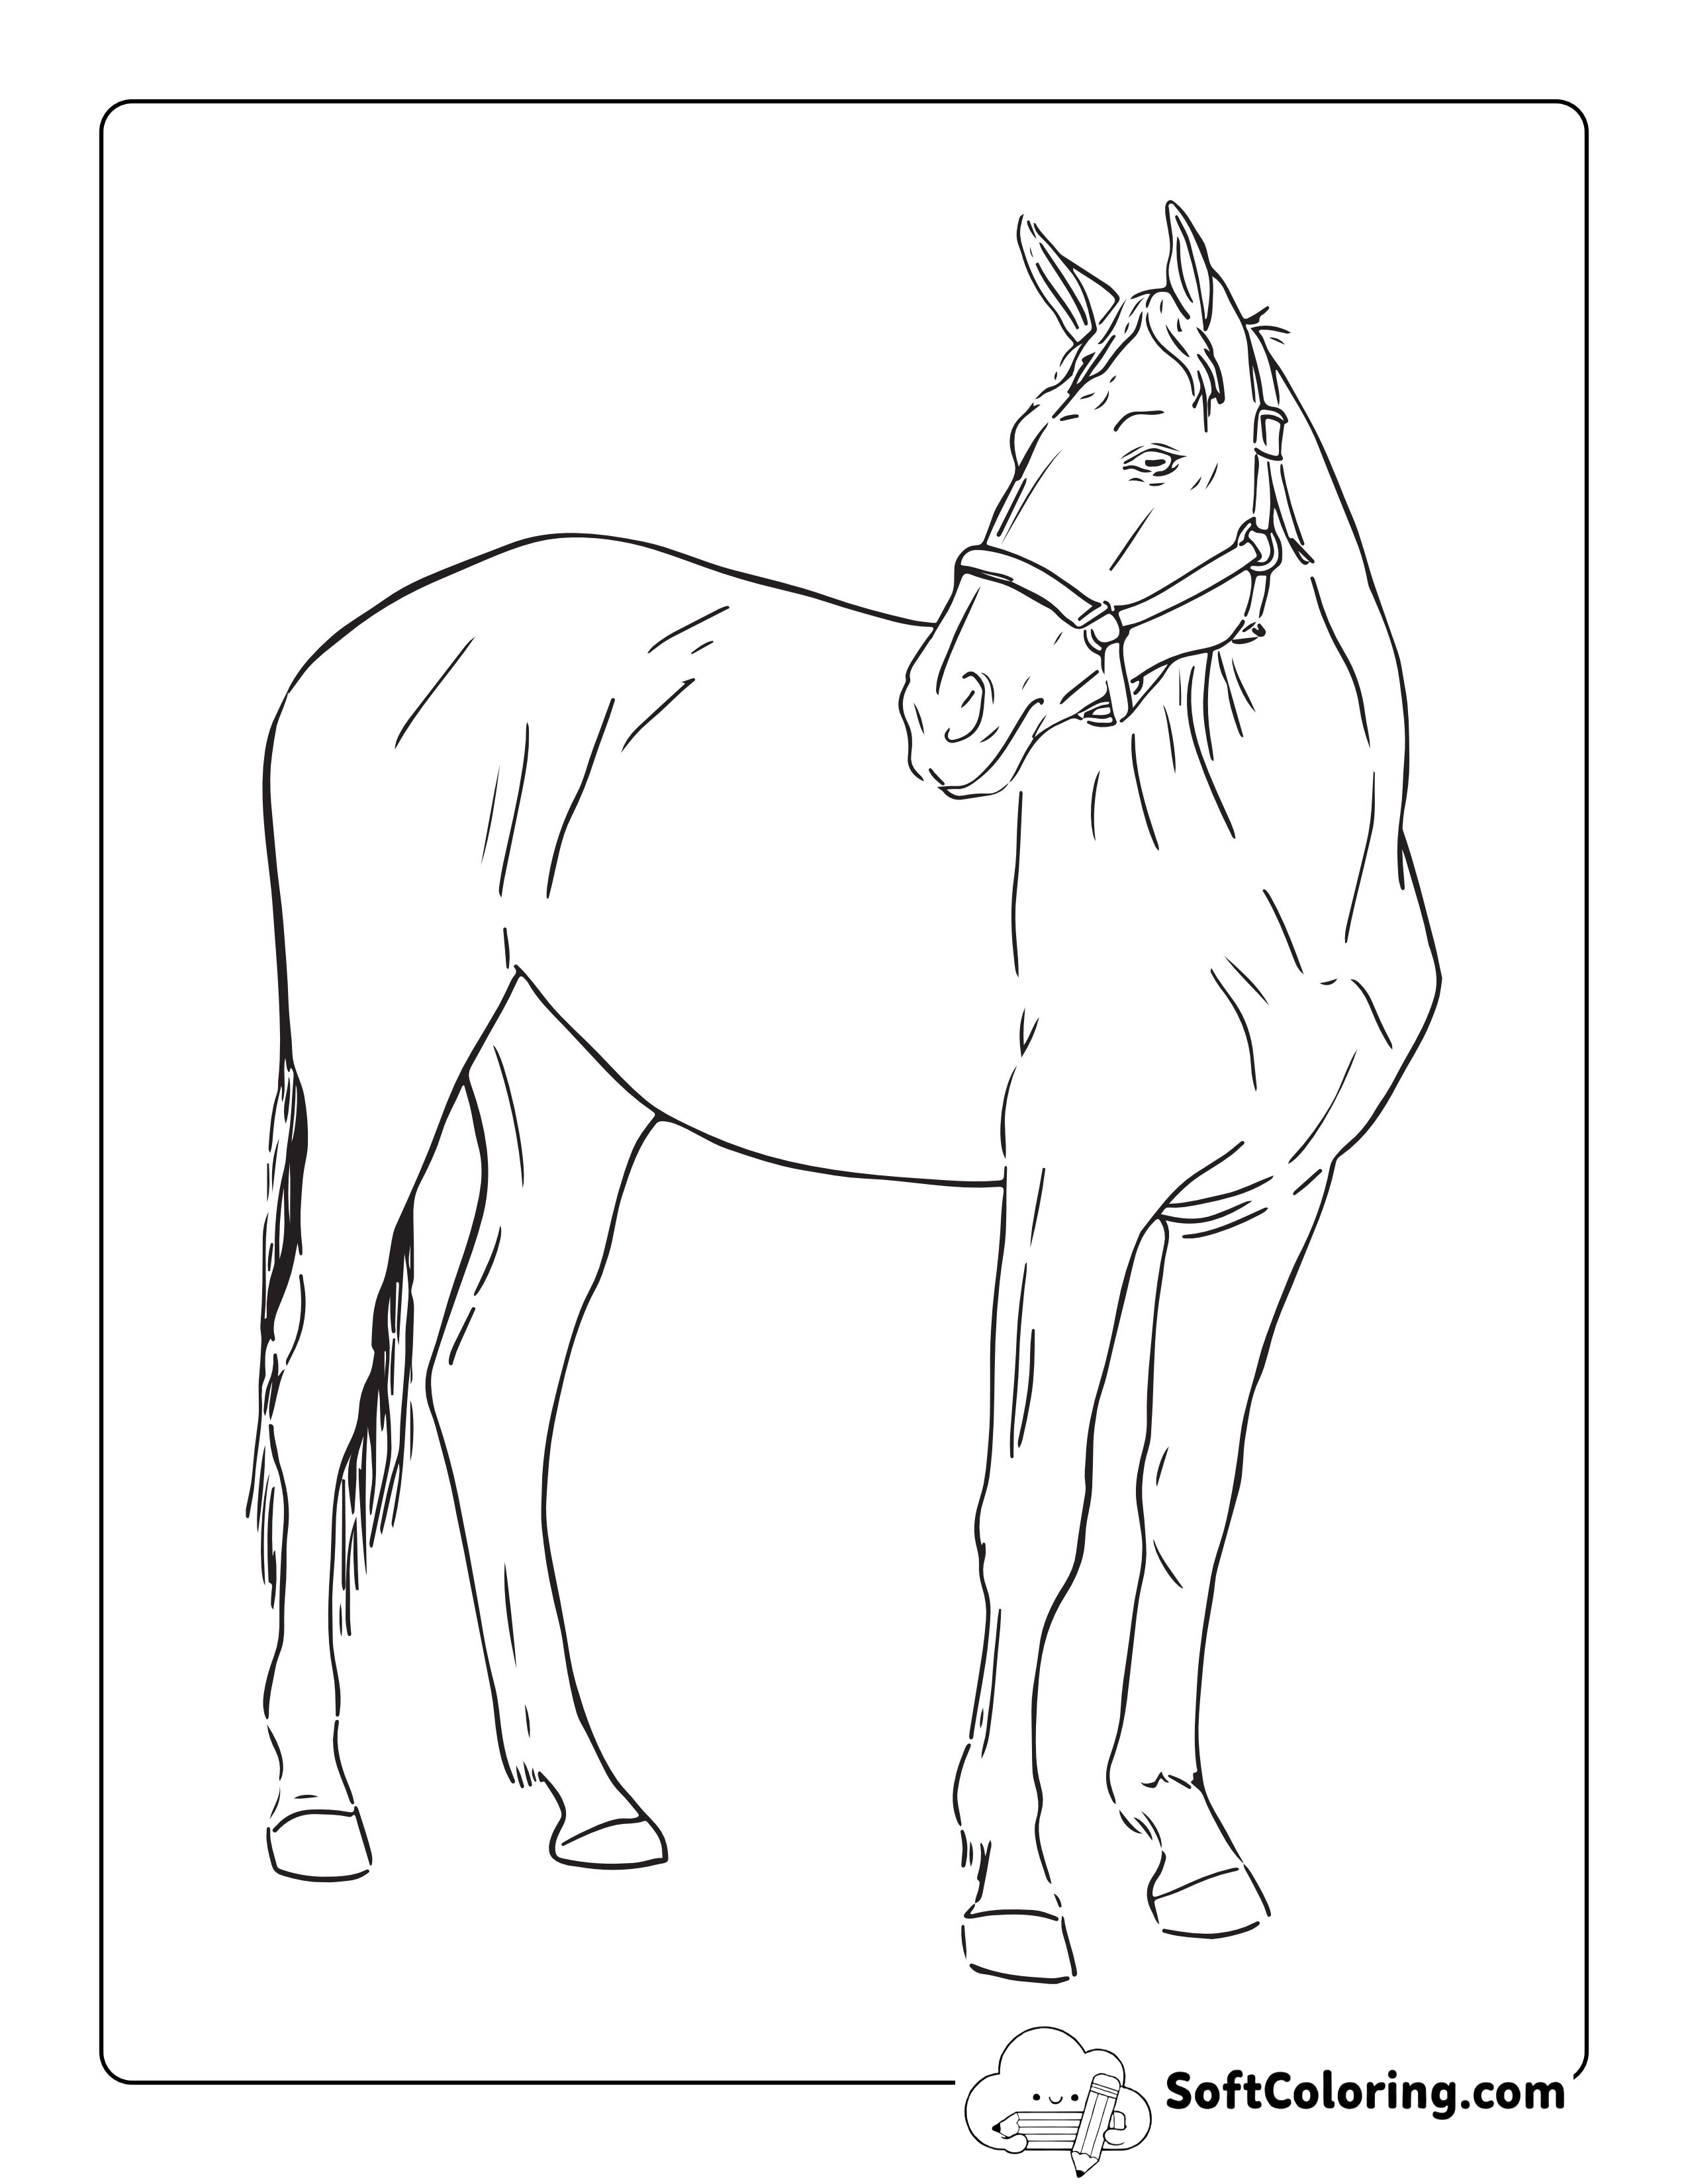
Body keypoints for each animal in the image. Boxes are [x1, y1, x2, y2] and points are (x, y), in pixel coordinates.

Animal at [248, 201, 1438, 1983]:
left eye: (1153, 450)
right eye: (1020, 444)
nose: (949, 712)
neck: (1257, 866)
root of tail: (367, 649)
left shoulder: (1262, 1208)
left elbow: (1182, 1504)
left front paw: (1190, 1847)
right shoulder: (1072, 1198)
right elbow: (1035, 1509)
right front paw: (1013, 1883)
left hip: (572, 1103)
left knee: (488, 1381)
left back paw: (589, 1799)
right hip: (386, 1061)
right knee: (320, 1381)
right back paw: (318, 1806)